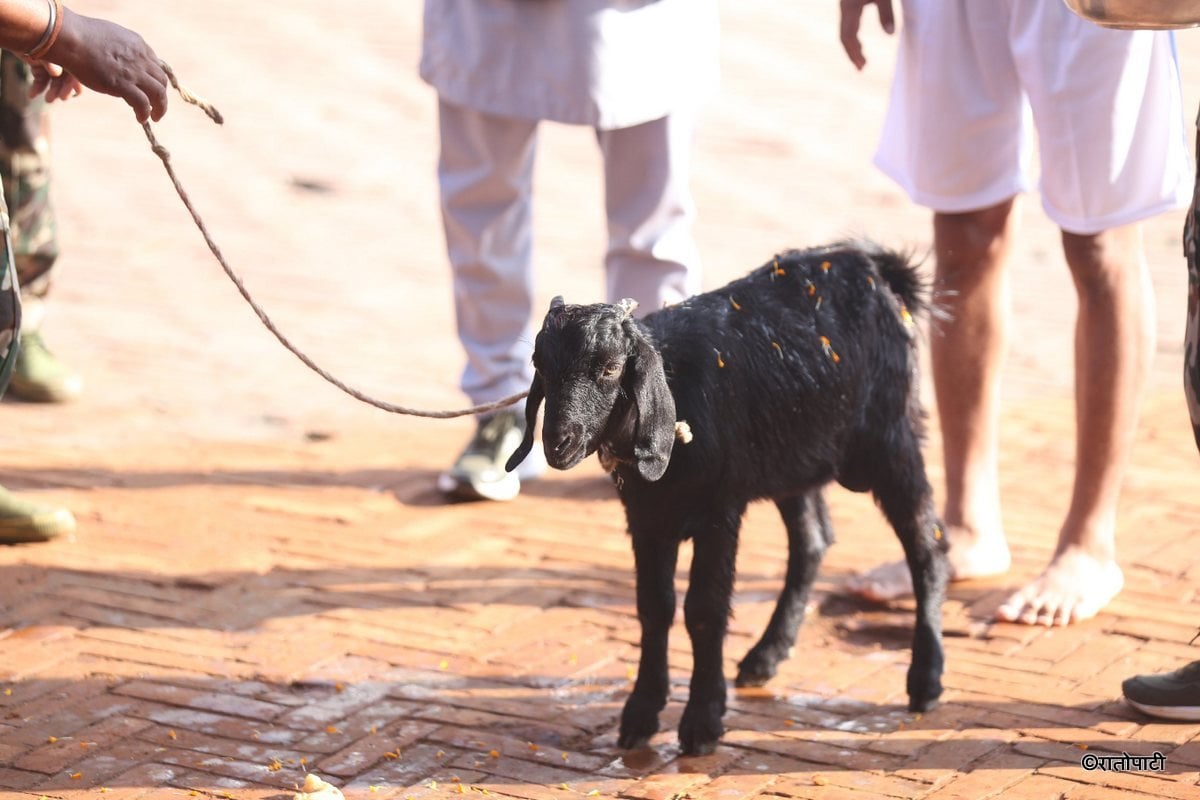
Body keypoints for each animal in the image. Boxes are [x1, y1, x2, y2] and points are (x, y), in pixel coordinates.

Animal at [504, 241, 945, 753]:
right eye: (540, 366)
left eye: (611, 368)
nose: (559, 442)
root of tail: (876, 266)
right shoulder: (646, 517)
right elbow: (653, 607)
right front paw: (641, 713)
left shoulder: (719, 511)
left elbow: (704, 609)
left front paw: (702, 721)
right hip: (792, 458)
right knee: (812, 539)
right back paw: (765, 656)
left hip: (888, 440)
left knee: (927, 543)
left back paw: (926, 678)